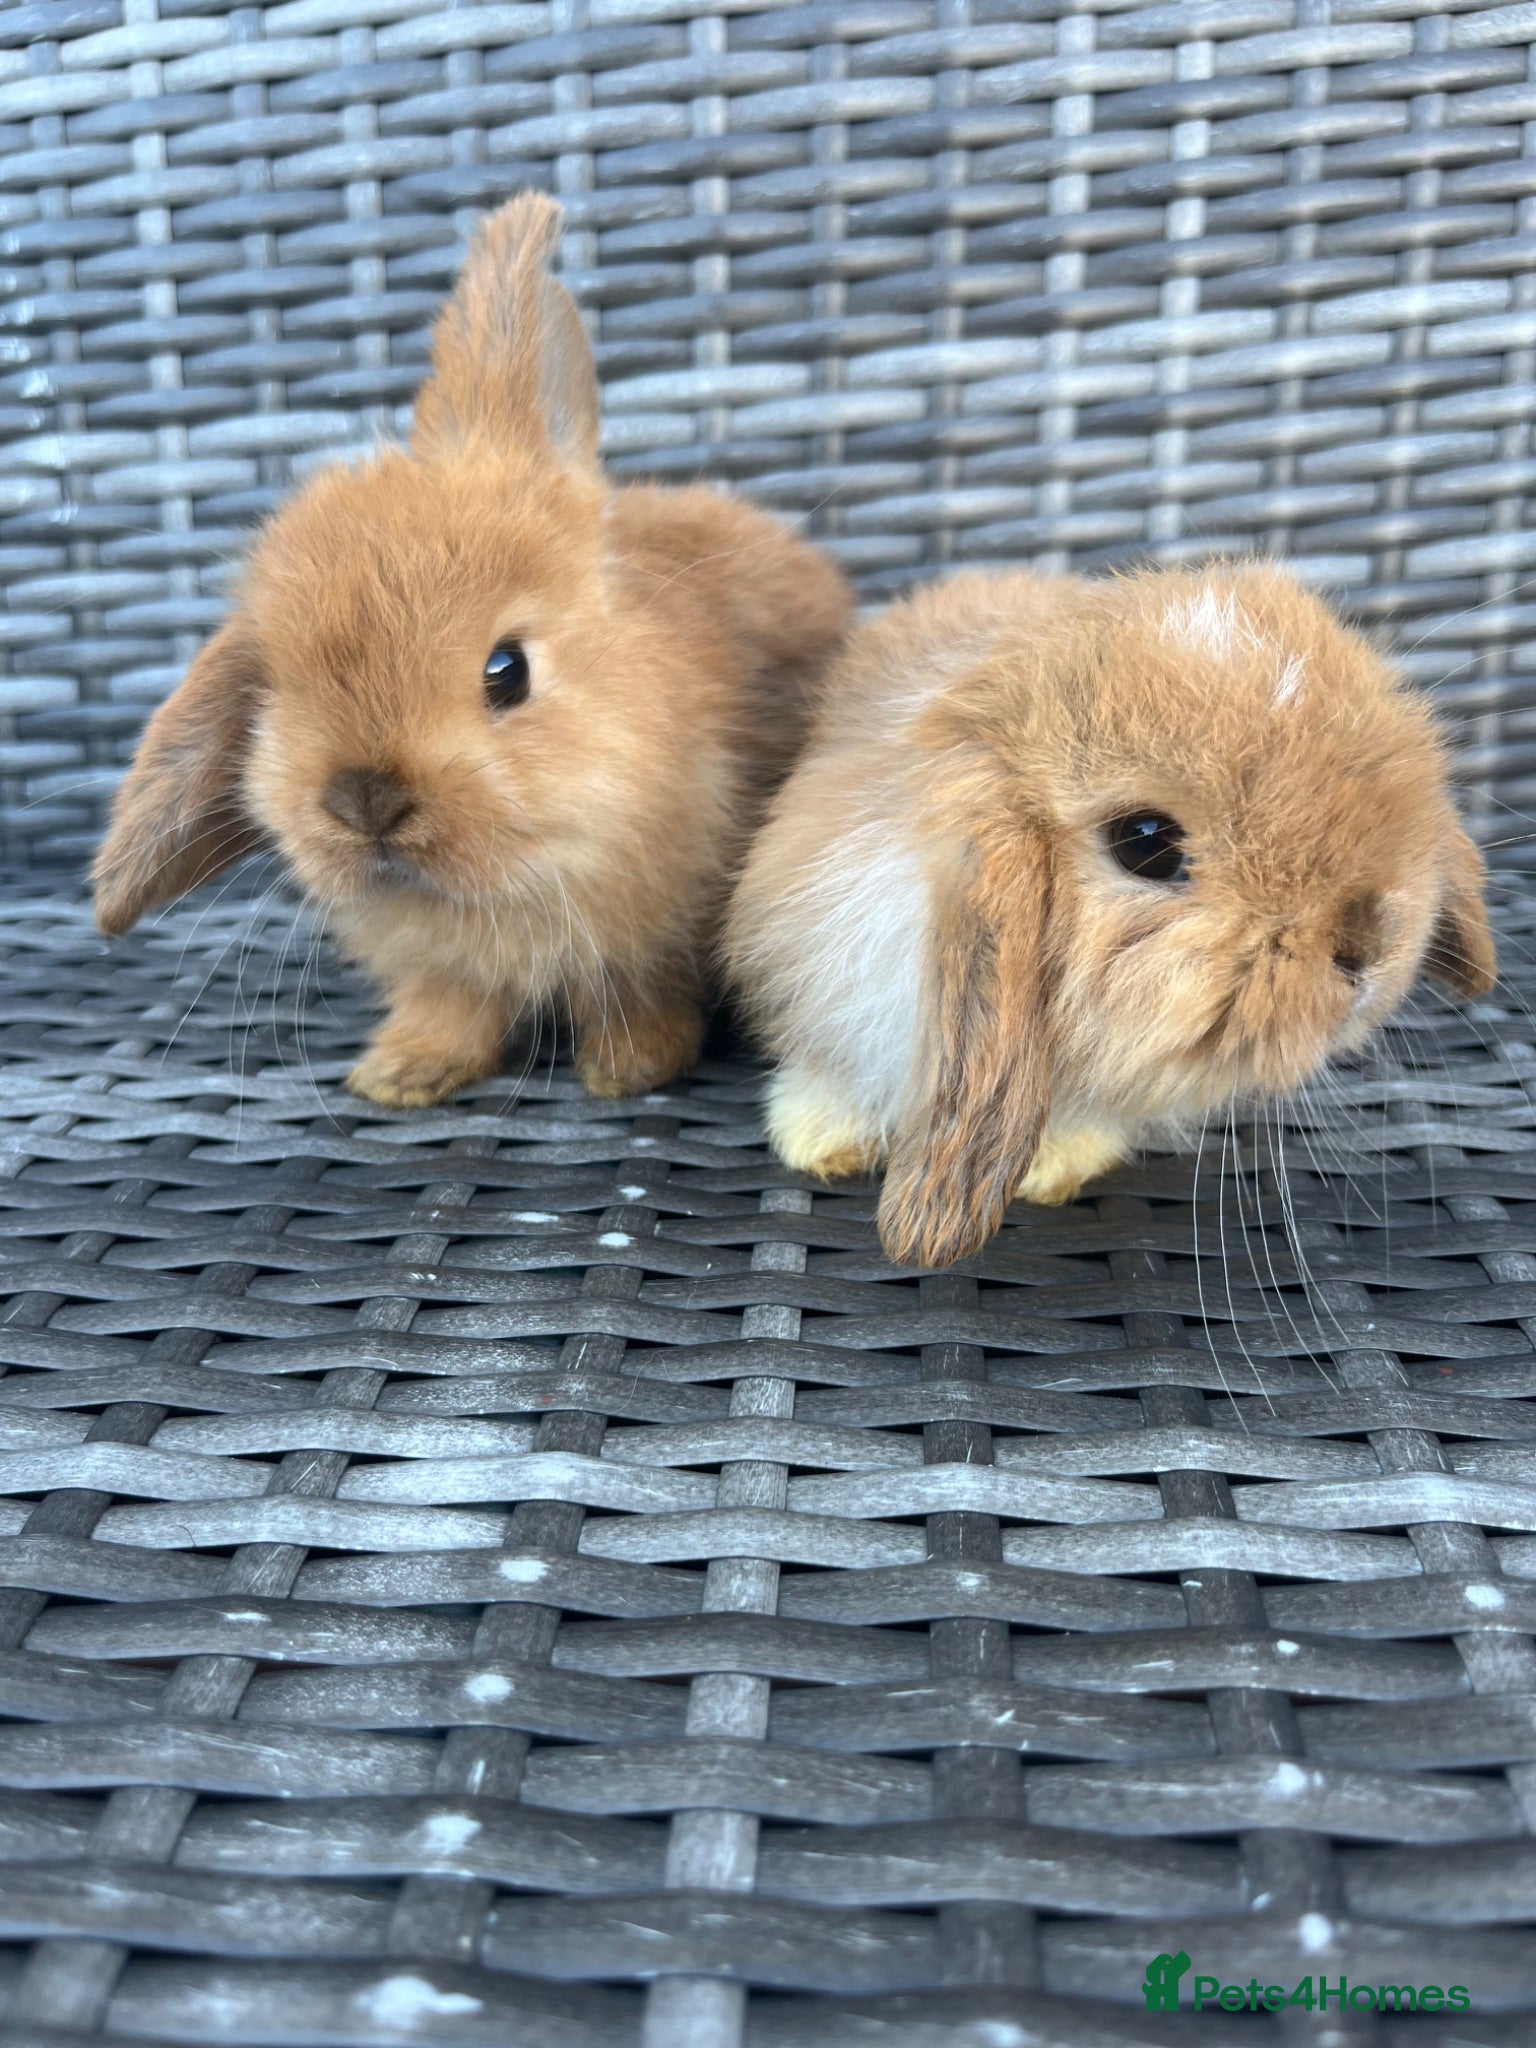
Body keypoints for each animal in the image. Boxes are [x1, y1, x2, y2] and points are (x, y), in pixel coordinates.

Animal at [92, 193, 852, 1109]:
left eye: (507, 671)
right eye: (275, 689)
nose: (365, 800)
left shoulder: (659, 932)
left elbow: (641, 991)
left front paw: (629, 1070)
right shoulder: (448, 970)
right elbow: (451, 1005)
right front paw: (400, 1074)